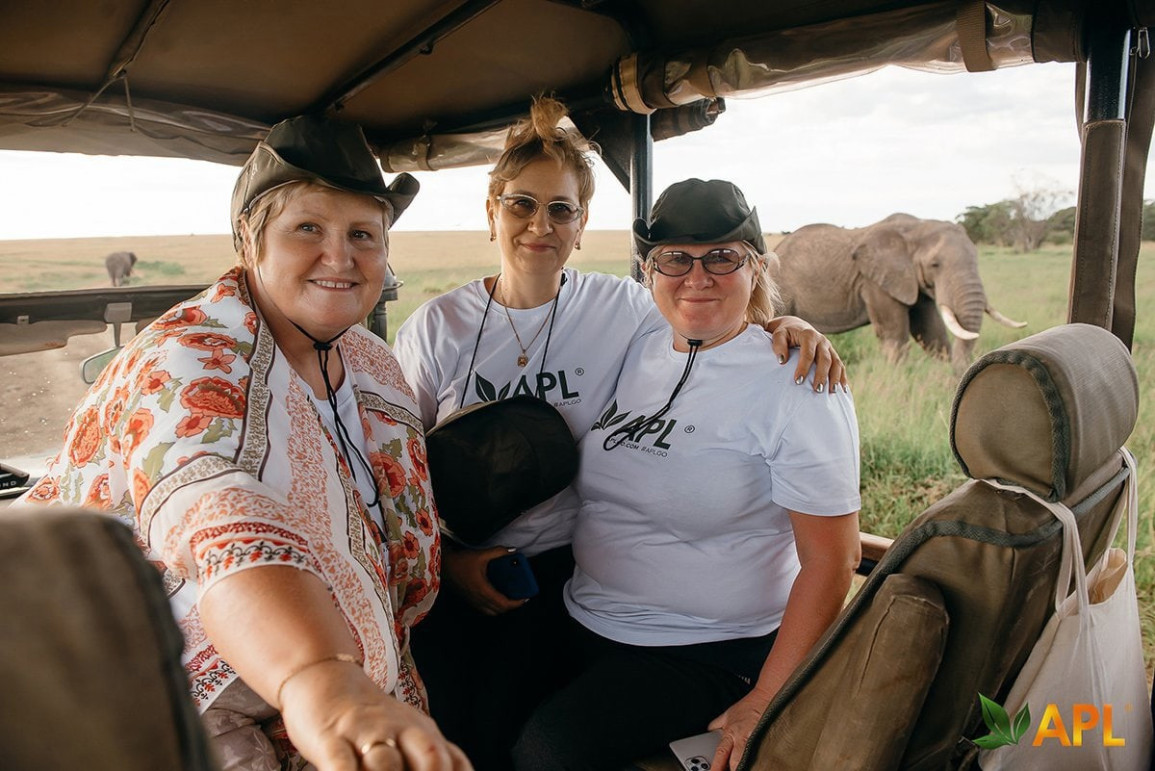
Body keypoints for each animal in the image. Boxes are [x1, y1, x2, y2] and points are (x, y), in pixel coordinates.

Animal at [768, 213, 1025, 372]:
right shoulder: (876, 282)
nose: (962, 371)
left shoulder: (913, 282)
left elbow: (931, 332)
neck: (917, 226)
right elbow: (895, 334)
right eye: (935, 265)